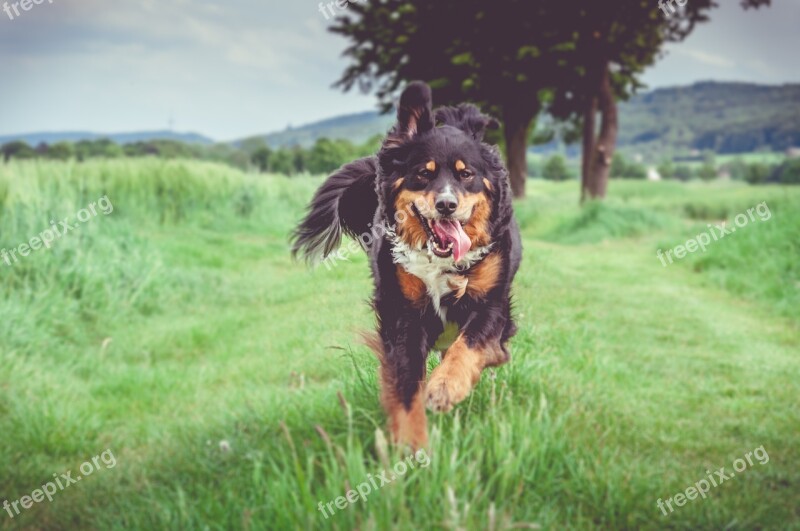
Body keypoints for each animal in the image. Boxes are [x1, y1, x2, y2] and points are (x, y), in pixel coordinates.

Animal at [290, 82, 520, 448]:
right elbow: (406, 383)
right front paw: (412, 448)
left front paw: (446, 386)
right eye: (423, 174)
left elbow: (470, 342)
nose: (446, 205)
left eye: (466, 174)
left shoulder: (492, 302)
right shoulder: (402, 313)